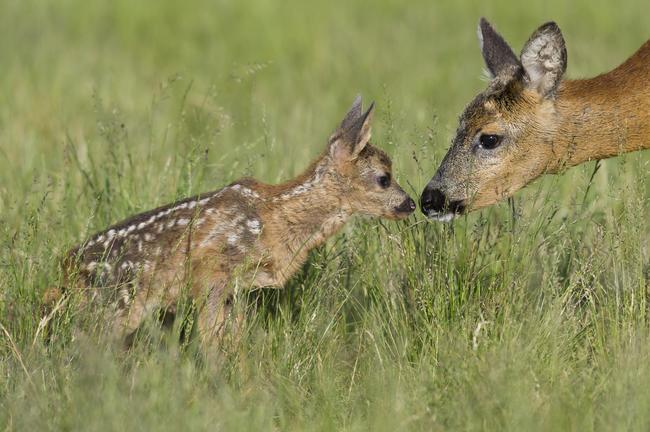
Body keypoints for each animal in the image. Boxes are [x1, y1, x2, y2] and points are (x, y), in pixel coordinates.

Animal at [52, 97, 416, 348]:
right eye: (384, 178)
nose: (411, 204)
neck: (275, 219)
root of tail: (66, 266)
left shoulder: (235, 288)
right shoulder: (212, 270)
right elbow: (211, 338)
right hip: (118, 302)